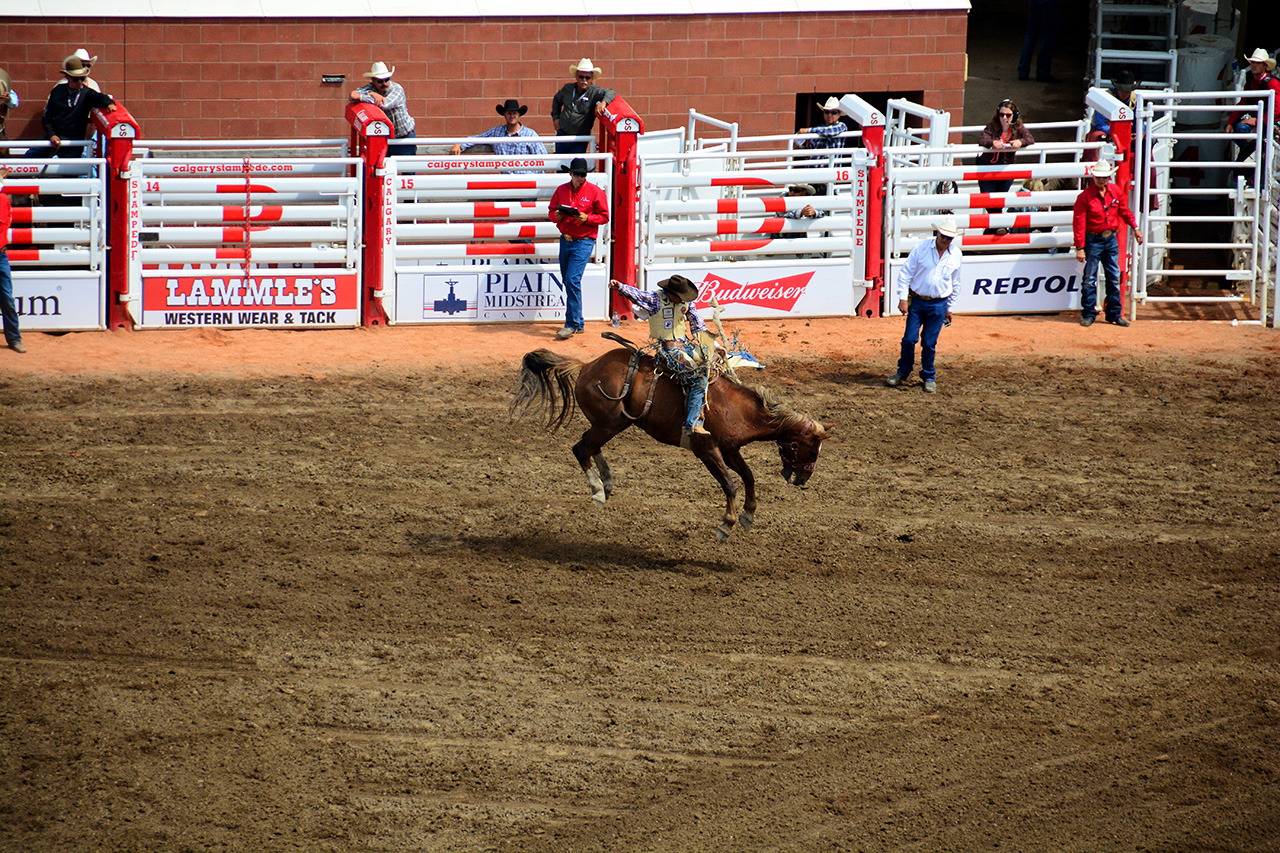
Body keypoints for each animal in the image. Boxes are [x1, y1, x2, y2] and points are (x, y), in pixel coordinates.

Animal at [509, 338, 829, 537]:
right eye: (812, 450)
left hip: (613, 424)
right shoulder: (707, 450)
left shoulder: (730, 450)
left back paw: (607, 481)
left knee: (590, 446)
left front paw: (748, 516)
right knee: (581, 448)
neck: (738, 408)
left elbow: (748, 478)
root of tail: (585, 365)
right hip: (609, 423)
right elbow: (729, 485)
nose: (803, 479)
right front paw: (726, 525)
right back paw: (598, 490)